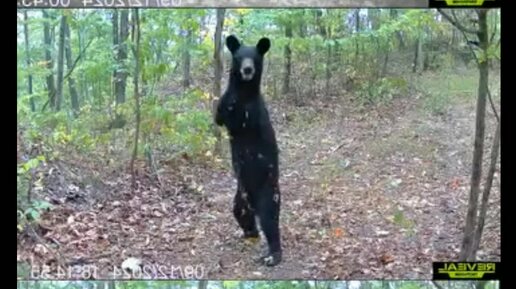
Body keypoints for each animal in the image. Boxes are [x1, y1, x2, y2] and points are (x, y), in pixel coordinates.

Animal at [216, 35, 284, 266]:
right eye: (239, 57)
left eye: (254, 58)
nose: (247, 69)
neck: (244, 91)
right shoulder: (224, 103)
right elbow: (219, 115)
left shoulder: (252, 112)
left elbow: (240, 120)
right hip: (240, 196)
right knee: (240, 212)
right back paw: (249, 231)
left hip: (268, 191)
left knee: (270, 220)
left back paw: (273, 255)